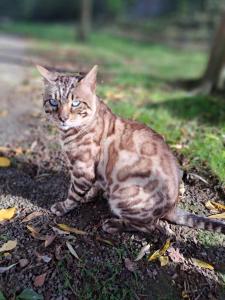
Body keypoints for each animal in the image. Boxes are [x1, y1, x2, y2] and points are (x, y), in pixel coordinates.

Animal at [36, 65, 225, 234]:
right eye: (53, 102)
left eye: (75, 103)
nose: (63, 118)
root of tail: (172, 207)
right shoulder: (95, 172)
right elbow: (94, 186)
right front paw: (89, 196)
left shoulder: (83, 170)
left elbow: (73, 194)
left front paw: (63, 207)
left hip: (123, 196)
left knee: (149, 227)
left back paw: (113, 224)